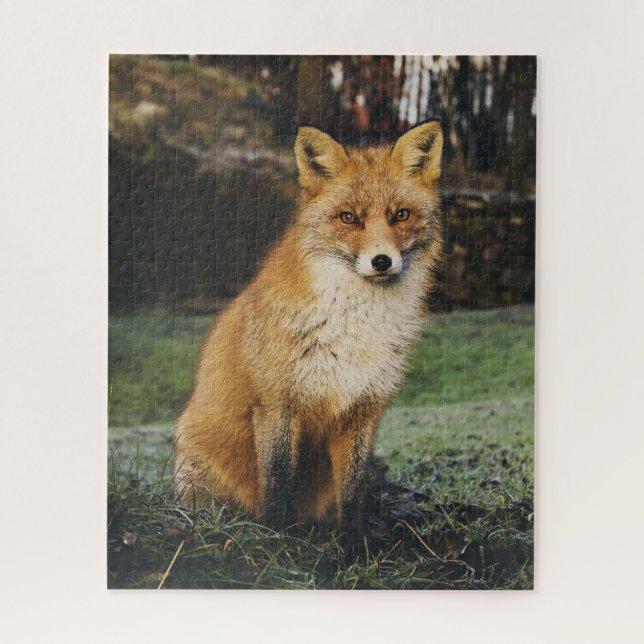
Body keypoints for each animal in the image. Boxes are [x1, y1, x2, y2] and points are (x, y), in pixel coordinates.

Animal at [174, 121, 444, 535]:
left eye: (401, 214)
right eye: (348, 217)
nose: (382, 261)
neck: (354, 330)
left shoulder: (362, 411)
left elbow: (353, 495)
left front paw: (355, 542)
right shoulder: (277, 405)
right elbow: (278, 486)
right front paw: (278, 539)